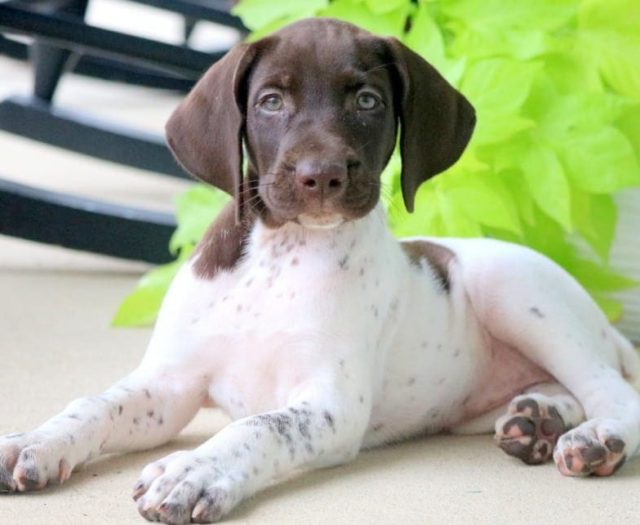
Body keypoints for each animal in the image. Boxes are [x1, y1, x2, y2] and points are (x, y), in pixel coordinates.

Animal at [1, 17, 640, 524]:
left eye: (368, 101)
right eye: (270, 101)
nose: (322, 175)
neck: (280, 256)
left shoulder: (330, 405)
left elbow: (257, 428)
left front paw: (194, 471)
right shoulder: (170, 384)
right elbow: (93, 404)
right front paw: (35, 441)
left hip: (519, 294)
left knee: (614, 392)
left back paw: (596, 438)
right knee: (572, 390)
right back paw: (538, 419)